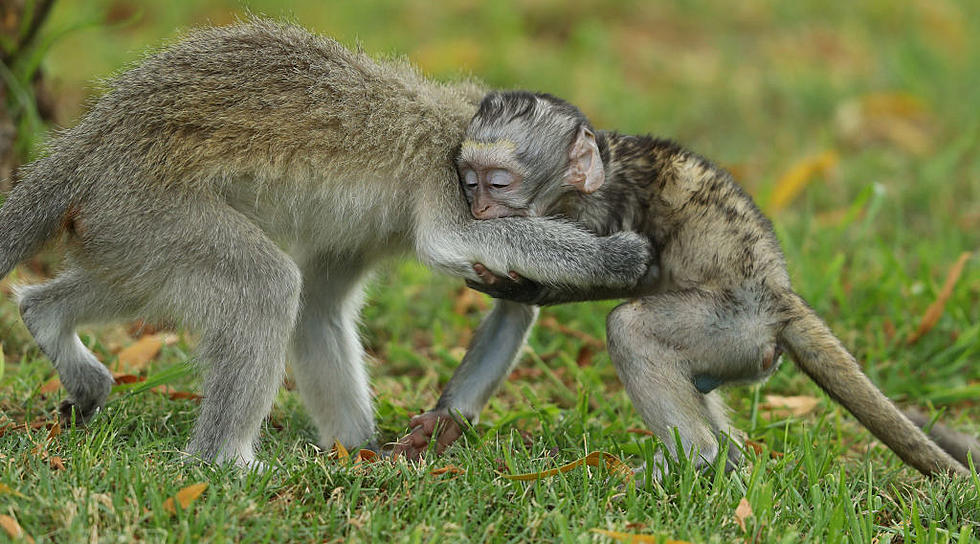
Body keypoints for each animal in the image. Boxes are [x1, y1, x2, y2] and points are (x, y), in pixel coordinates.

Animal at [402, 91, 976, 478]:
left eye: (497, 183)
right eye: (468, 181)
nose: (479, 209)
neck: (591, 175)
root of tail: (781, 297)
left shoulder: (596, 210)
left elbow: (623, 271)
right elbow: (516, 310)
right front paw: (445, 421)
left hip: (734, 326)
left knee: (631, 327)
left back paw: (692, 459)